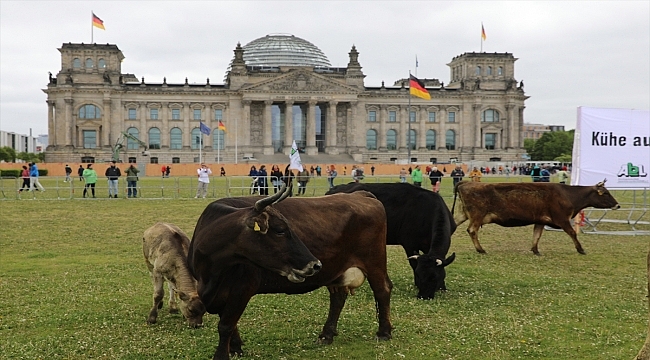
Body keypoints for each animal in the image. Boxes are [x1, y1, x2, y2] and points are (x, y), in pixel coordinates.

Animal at [187, 188, 390, 360]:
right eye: (280, 230)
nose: (315, 265)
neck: (211, 273)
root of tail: (360, 195)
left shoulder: (242, 289)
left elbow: (226, 325)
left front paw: (222, 354)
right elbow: (230, 322)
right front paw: (236, 348)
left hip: (375, 262)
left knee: (383, 290)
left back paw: (384, 332)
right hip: (336, 271)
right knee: (338, 298)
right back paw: (326, 335)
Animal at [324, 183, 456, 300]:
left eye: (433, 277)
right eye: (418, 274)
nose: (423, 296)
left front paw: (442, 288)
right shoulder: (409, 244)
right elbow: (413, 264)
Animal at [450, 180, 616, 256]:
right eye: (606, 193)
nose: (617, 204)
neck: (568, 195)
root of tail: (466, 182)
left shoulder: (540, 221)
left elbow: (537, 235)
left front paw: (535, 250)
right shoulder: (562, 219)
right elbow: (572, 233)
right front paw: (580, 249)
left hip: (463, 214)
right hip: (477, 215)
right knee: (472, 230)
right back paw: (480, 249)